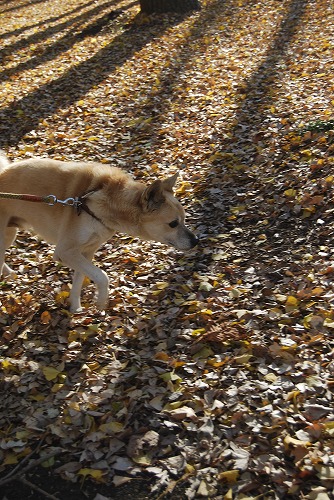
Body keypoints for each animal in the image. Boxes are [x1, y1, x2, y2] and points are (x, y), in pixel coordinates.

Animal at [0, 150, 197, 310]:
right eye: (173, 223)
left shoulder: (85, 252)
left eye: (184, 219)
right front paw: (101, 302)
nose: (196, 241)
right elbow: (102, 276)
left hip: (10, 234)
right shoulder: (65, 252)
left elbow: (79, 281)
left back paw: (9, 274)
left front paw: (76, 309)